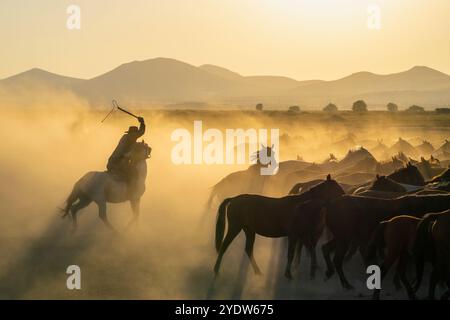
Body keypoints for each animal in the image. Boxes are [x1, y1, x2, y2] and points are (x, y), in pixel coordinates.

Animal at [322, 194, 450, 288]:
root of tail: (329, 206)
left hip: (343, 237)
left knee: (325, 248)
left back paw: (329, 272)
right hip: (345, 237)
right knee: (337, 259)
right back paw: (346, 284)